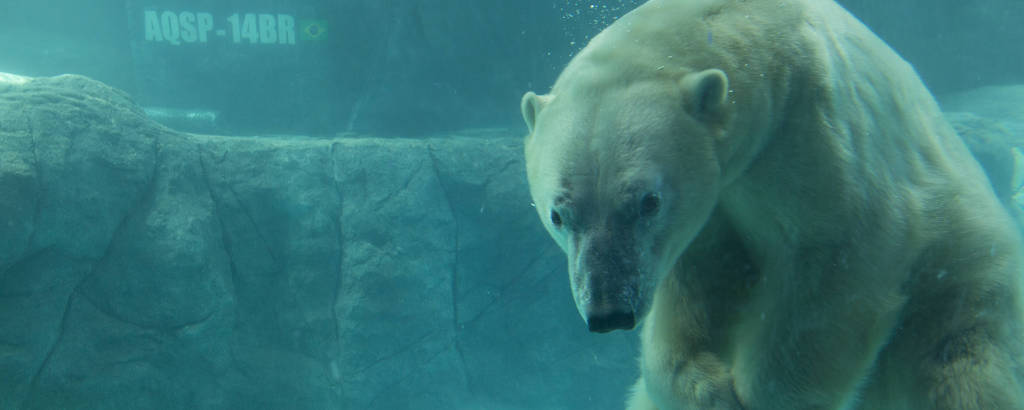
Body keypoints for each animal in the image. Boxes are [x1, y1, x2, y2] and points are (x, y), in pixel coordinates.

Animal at [520, 0, 1024, 405]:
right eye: (558, 214)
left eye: (648, 202)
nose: (609, 312)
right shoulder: (711, 212)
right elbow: (695, 291)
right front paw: (708, 388)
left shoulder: (813, 133)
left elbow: (836, 263)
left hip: (960, 277)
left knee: (958, 366)